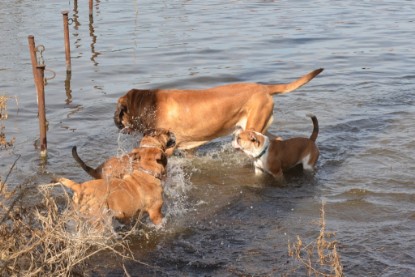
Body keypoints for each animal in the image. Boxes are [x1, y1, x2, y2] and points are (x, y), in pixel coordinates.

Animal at [114, 67, 324, 152]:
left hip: (254, 126)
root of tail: (264, 88)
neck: (150, 103)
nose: (114, 121)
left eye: (119, 112)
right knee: (277, 139)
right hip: (258, 125)